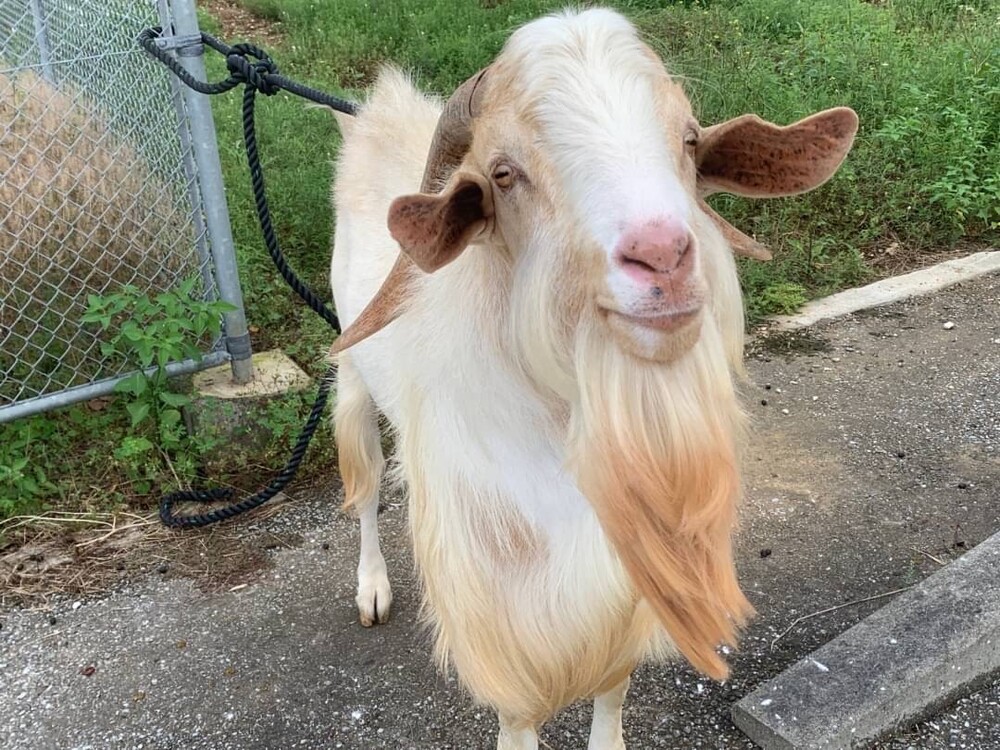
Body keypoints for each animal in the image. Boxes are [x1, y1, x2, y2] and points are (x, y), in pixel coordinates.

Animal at [326, 8, 857, 748]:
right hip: (352, 374)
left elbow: (613, 688)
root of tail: (380, 111)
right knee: (370, 482)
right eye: (504, 173)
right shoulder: (504, 616)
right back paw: (371, 586)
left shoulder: (626, 588)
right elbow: (518, 715)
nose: (662, 255)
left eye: (689, 139)